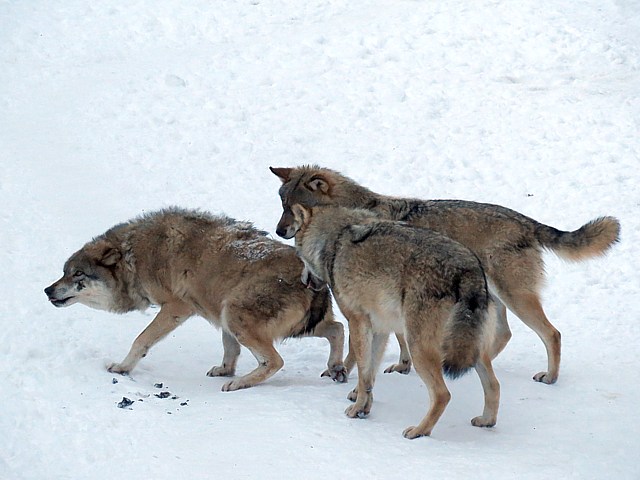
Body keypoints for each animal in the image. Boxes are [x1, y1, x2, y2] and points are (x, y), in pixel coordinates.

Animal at [45, 206, 348, 390]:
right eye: (64, 272)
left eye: (77, 274)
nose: (47, 290)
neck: (137, 255)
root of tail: (315, 280)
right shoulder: (217, 315)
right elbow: (229, 350)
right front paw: (225, 370)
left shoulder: (176, 307)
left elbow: (141, 340)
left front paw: (121, 368)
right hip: (259, 318)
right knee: (337, 328)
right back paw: (336, 368)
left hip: (236, 314)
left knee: (276, 361)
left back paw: (239, 384)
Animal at [270, 167, 620, 384]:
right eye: (282, 204)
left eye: (293, 209)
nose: (278, 231)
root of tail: (526, 221)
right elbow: (400, 339)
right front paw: (403, 365)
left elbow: (367, 347)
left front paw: (348, 372)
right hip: (491, 298)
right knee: (502, 335)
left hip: (513, 298)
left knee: (552, 334)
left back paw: (549, 377)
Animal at [288, 204, 502, 436]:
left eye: (299, 255)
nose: (303, 280)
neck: (335, 240)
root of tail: (469, 272)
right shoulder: (379, 328)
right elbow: (370, 373)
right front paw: (363, 405)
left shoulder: (357, 322)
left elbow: (363, 373)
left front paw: (357, 409)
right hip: (471, 350)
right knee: (494, 385)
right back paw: (486, 421)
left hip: (418, 346)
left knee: (442, 394)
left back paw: (418, 432)